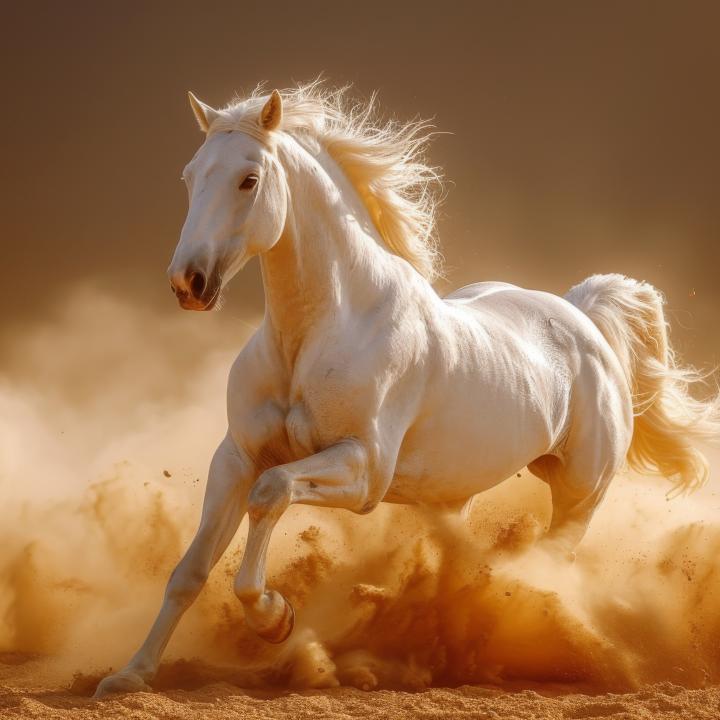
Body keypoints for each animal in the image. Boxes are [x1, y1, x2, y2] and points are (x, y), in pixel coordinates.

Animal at [95, 82, 720, 697]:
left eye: (249, 178)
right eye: (190, 174)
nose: (188, 283)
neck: (319, 334)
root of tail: (584, 317)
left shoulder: (363, 469)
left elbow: (272, 493)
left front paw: (275, 618)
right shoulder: (236, 457)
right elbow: (191, 570)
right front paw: (128, 676)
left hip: (579, 496)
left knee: (549, 568)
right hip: (451, 502)